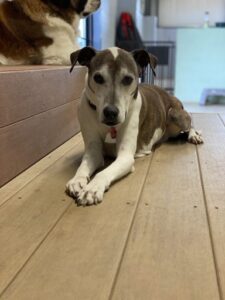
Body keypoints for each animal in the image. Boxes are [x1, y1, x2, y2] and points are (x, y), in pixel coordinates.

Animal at [66, 47, 203, 206]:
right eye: (98, 78)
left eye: (128, 79)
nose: (111, 112)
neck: (109, 127)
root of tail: (170, 95)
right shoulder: (93, 150)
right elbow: (84, 164)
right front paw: (77, 180)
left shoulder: (125, 157)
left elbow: (103, 172)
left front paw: (92, 188)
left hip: (175, 115)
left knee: (189, 123)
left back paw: (194, 135)